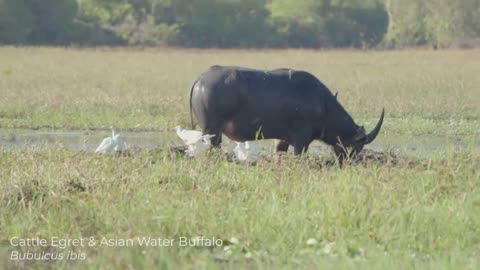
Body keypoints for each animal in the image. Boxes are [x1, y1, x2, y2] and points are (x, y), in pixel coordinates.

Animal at [189, 65, 384, 158]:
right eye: (356, 146)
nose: (347, 162)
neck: (324, 106)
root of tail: (201, 79)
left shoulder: (282, 140)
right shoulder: (301, 141)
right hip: (212, 130)